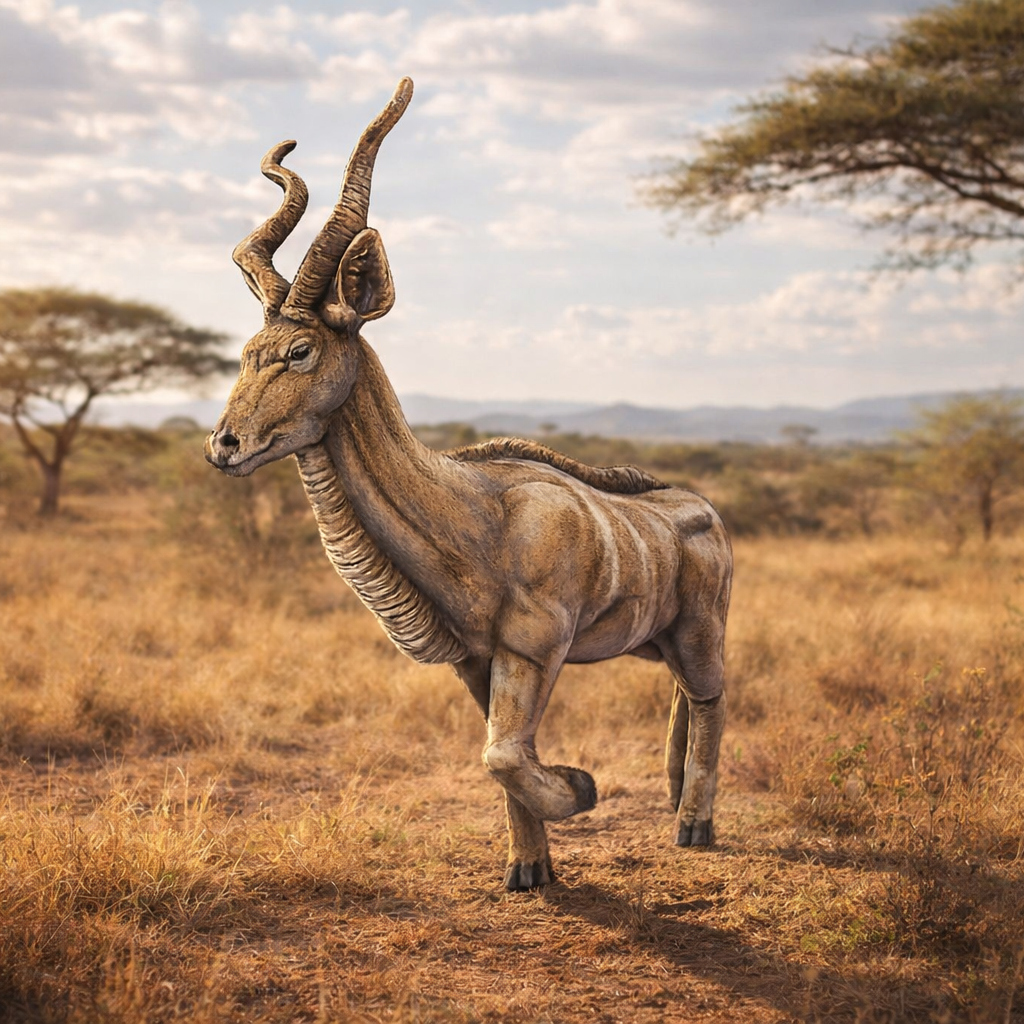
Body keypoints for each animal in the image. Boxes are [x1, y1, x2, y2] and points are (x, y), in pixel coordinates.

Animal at [206, 78, 733, 891]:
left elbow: (505, 754)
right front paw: (528, 871)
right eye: (247, 351)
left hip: (702, 637)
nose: (224, 445)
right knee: (682, 698)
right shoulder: (477, 663)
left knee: (711, 702)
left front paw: (581, 787)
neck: (477, 515)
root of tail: (704, 510)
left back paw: (694, 826)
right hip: (658, 643)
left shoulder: (534, 652)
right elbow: (499, 758)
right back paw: (675, 806)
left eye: (299, 350)